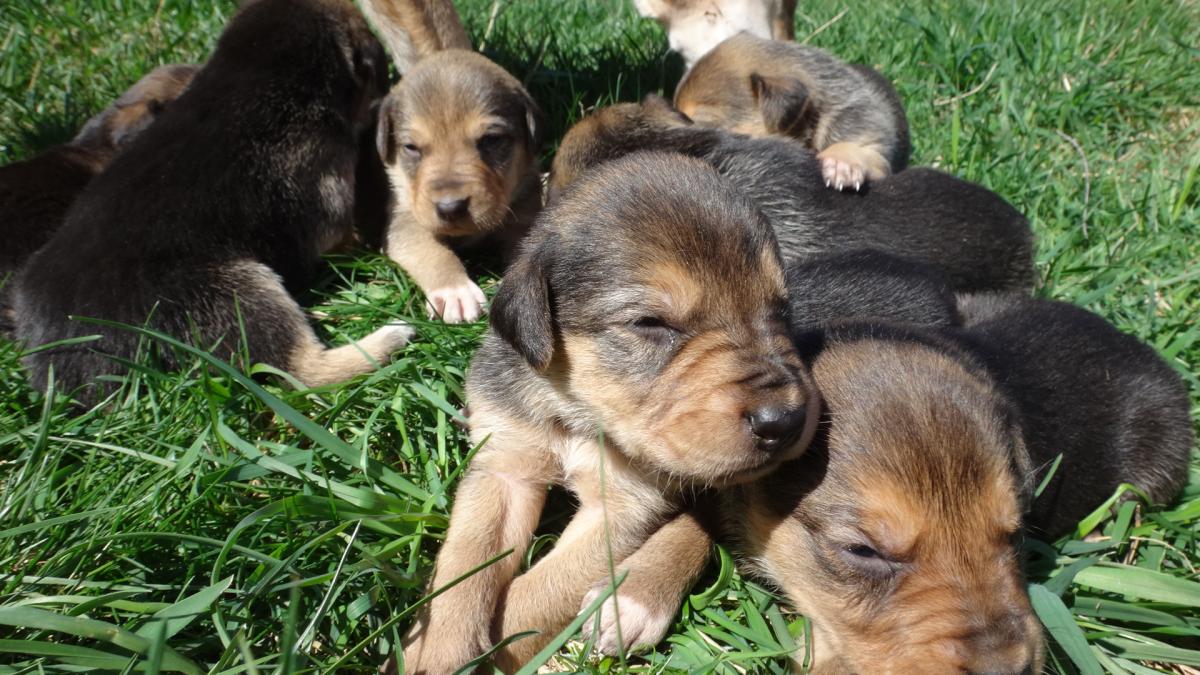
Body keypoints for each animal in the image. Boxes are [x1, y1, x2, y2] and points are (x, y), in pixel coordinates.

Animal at [363, 0, 543, 323]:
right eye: (411, 148)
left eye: (491, 140)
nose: (450, 207)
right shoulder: (405, 219)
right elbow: (431, 252)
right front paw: (455, 292)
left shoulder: (525, 212)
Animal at [398, 152, 820, 673]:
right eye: (650, 323)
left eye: (781, 311)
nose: (785, 421)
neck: (576, 414)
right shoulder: (504, 463)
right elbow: (464, 562)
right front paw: (433, 651)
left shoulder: (624, 505)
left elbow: (534, 596)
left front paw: (497, 648)